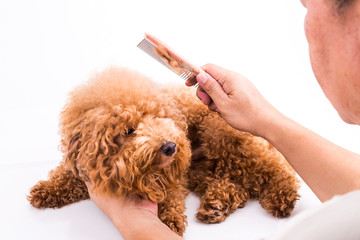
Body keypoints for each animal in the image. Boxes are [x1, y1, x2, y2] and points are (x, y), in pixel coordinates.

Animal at [26, 66, 300, 235]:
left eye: (159, 117)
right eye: (129, 130)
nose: (171, 146)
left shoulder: (173, 174)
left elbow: (172, 195)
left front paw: (170, 222)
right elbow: (67, 176)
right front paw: (47, 190)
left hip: (223, 138)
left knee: (274, 168)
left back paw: (282, 197)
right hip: (202, 169)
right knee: (238, 187)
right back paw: (217, 204)